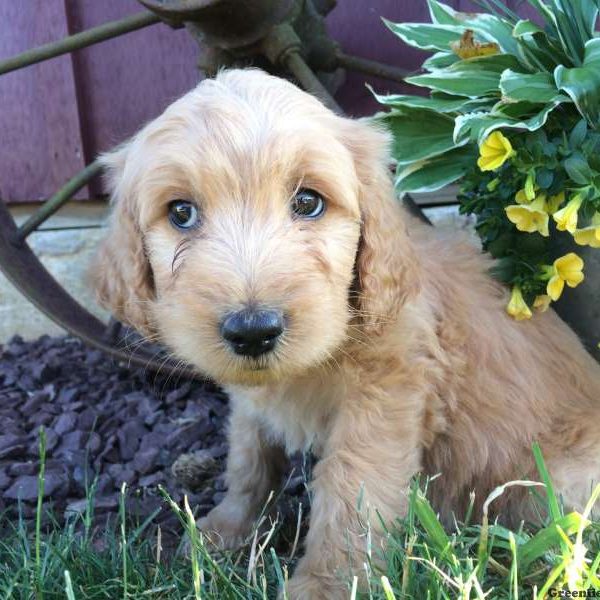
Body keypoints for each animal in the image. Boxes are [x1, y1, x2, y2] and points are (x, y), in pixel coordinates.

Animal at [95, 69, 600, 596]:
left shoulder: (383, 400)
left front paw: (328, 584)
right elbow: (248, 458)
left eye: (307, 202)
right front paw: (225, 531)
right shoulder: (252, 403)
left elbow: (351, 489)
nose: (253, 333)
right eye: (181, 213)